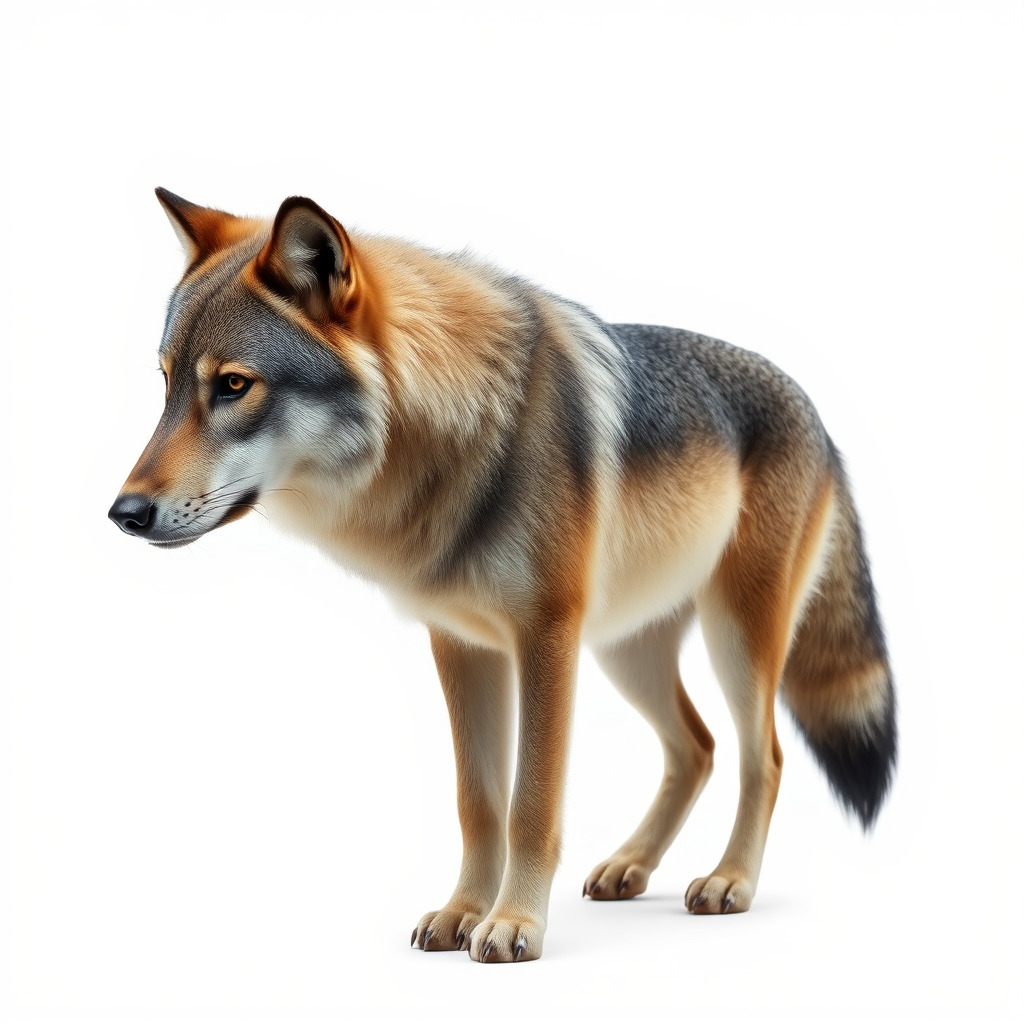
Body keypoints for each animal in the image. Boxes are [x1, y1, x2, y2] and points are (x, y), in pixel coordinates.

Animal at [109, 189, 896, 963]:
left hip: (734, 643)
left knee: (763, 755)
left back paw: (731, 880)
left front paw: (515, 924)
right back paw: (630, 867)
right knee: (696, 748)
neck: (457, 441)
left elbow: (531, 803)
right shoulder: (462, 645)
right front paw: (463, 913)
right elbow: (478, 802)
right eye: (167, 385)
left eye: (233, 385)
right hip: (625, 652)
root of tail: (819, 418)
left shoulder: (546, 638)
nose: (123, 513)